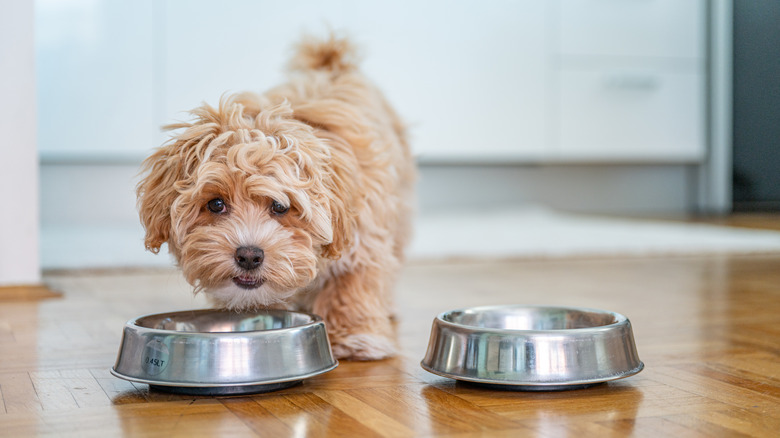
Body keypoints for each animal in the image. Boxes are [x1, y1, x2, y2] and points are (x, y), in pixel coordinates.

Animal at [136, 35, 414, 360]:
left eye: (280, 206)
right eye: (216, 204)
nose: (249, 256)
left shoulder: (363, 238)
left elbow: (351, 283)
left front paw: (354, 336)